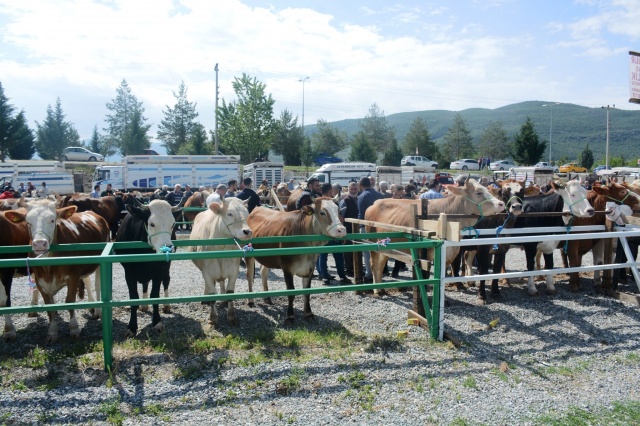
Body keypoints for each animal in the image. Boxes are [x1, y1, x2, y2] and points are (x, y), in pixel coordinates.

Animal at [4, 199, 109, 342]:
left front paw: (74, 328)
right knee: (87, 280)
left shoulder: (73, 276)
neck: (49, 267)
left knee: (98, 286)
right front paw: (52, 332)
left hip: (98, 264)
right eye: (28, 222)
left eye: (52, 220)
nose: (39, 243)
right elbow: (50, 307)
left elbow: (70, 301)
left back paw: (98, 310)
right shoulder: (40, 281)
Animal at [188, 198, 252, 328]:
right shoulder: (207, 272)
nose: (247, 231)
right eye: (229, 213)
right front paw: (213, 319)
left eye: (247, 213)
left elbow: (230, 292)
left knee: (222, 282)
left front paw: (231, 316)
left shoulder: (234, 271)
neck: (221, 248)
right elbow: (212, 294)